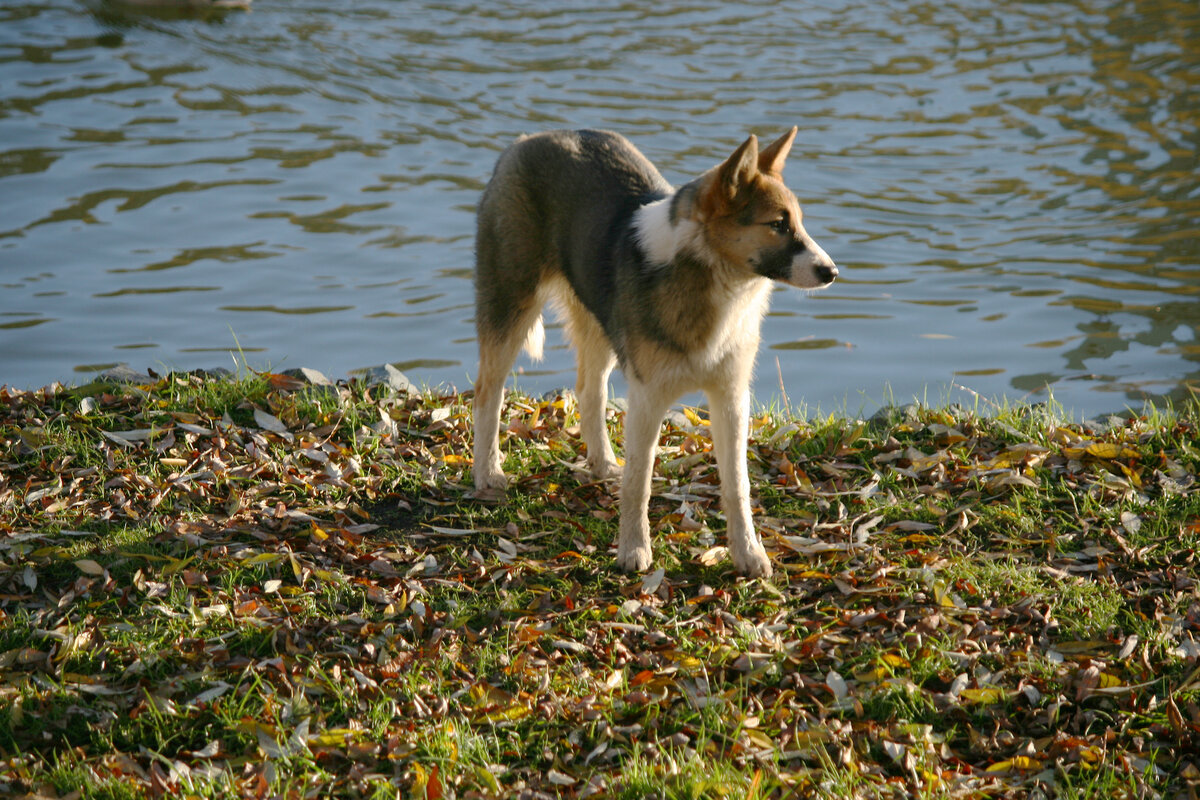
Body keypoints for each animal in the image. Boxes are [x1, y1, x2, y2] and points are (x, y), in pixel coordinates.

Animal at [468, 130, 835, 575]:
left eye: (797, 221)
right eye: (777, 225)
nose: (832, 272)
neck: (710, 280)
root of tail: (527, 140)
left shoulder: (731, 398)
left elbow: (737, 485)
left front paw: (748, 553)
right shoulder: (648, 397)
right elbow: (639, 481)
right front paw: (634, 549)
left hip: (599, 326)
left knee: (589, 391)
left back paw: (602, 462)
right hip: (511, 308)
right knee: (487, 394)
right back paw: (488, 472)